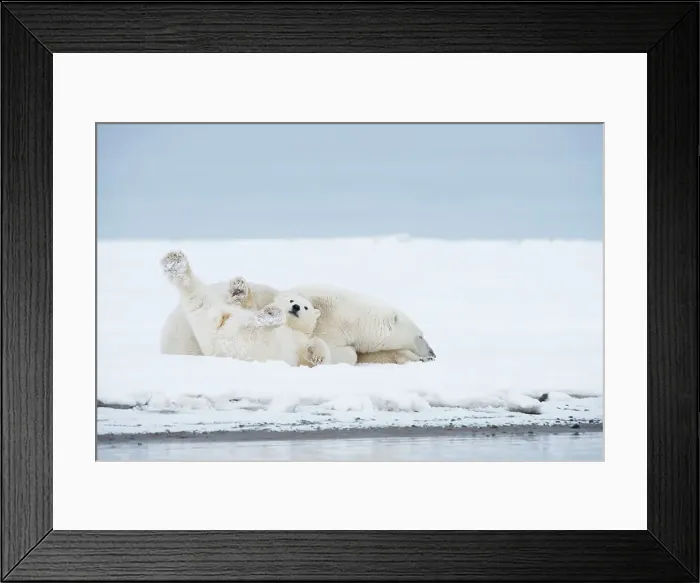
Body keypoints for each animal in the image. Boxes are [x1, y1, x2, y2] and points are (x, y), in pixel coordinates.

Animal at [160, 251, 330, 367]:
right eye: (291, 300)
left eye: (306, 307)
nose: (295, 307)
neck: (293, 327)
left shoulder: (302, 343)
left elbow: (318, 347)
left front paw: (318, 357)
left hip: (211, 325)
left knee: (197, 300)